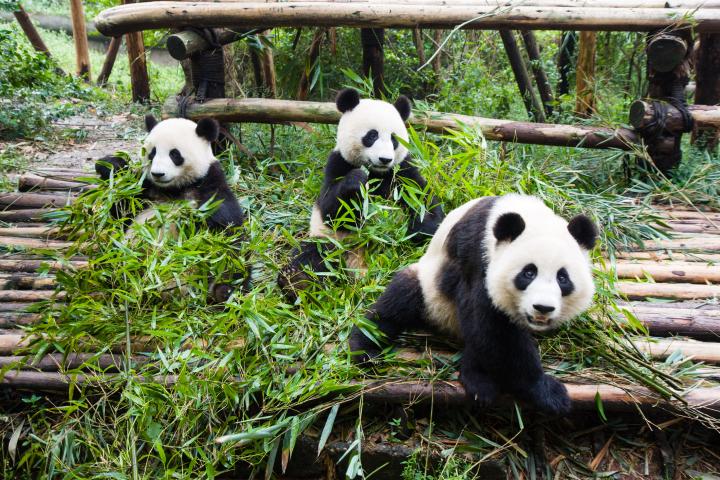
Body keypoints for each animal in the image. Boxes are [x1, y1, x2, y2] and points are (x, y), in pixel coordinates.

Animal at [95, 115, 247, 300]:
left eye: (175, 154)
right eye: (152, 153)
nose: (158, 174)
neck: (173, 189)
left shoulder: (210, 185)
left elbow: (226, 230)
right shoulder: (145, 190)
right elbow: (121, 209)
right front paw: (109, 165)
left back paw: (223, 292)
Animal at [278, 88, 445, 299]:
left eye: (393, 139)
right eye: (372, 135)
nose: (385, 159)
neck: (377, 172)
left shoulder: (402, 170)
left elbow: (424, 200)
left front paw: (419, 227)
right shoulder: (338, 163)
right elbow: (331, 210)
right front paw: (357, 180)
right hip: (332, 243)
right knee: (312, 256)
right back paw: (298, 282)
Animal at [349, 194, 598, 415]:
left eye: (562, 278)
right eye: (528, 273)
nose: (542, 308)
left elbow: (488, 333)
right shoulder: (478, 258)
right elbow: (493, 328)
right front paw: (547, 391)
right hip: (430, 291)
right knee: (397, 303)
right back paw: (365, 349)